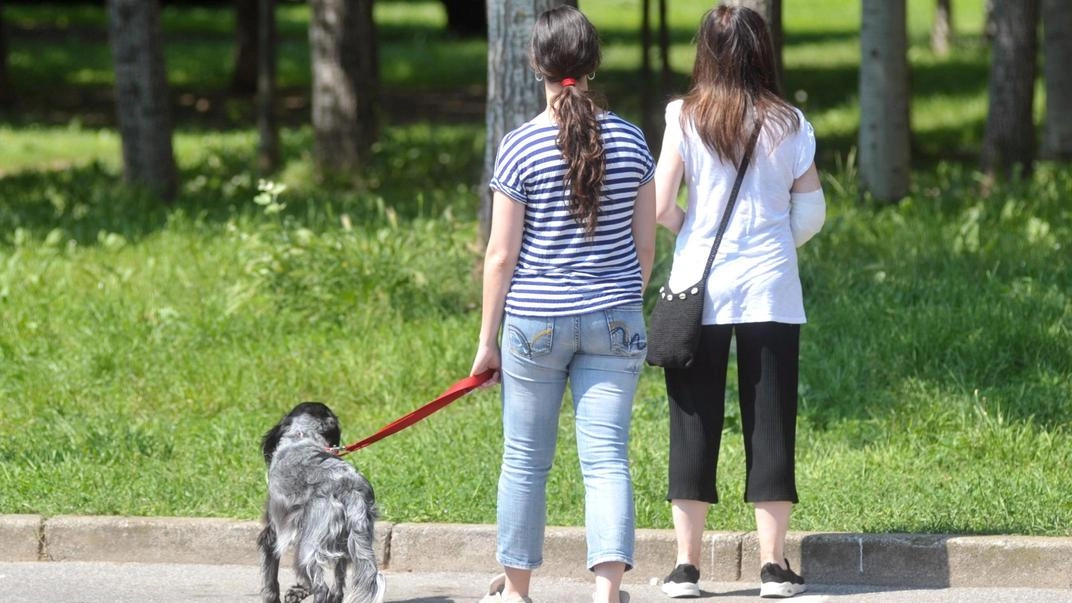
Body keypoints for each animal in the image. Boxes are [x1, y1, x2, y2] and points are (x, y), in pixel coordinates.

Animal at [258, 399, 385, 600]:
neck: (302, 436)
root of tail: (349, 489)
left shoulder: (272, 533)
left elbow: (270, 581)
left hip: (308, 546)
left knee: (321, 586)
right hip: (350, 540)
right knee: (338, 587)